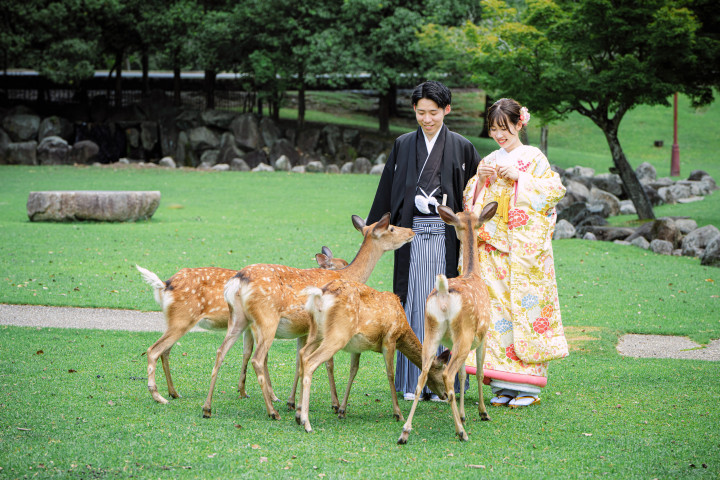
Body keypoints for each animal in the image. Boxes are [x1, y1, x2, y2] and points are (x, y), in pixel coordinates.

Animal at [136, 246, 348, 404]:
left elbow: (247, 353)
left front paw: (244, 392)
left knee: (165, 351)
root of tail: (164, 285)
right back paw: (160, 396)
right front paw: (273, 397)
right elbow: (261, 357)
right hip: (182, 319)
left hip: (174, 321)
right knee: (155, 350)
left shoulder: (248, 328)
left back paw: (174, 392)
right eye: (339, 266)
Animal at [202, 214, 414, 420]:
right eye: (392, 228)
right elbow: (328, 363)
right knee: (257, 358)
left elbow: (299, 361)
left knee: (221, 351)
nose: (411, 232)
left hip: (238, 319)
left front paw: (293, 402)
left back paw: (208, 408)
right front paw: (334, 404)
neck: (349, 276)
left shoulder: (304, 330)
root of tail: (238, 281)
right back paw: (272, 411)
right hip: (267, 319)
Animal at [296, 280, 448, 434]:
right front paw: (398, 414)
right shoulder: (390, 339)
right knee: (310, 361)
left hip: (316, 332)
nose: (446, 395)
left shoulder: (356, 348)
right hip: (338, 334)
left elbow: (353, 371)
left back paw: (298, 414)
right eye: (443, 374)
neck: (403, 332)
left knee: (302, 353)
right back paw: (306, 423)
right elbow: (390, 374)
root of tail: (320, 294)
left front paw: (342, 410)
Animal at [396, 201, 498, 444]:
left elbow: (463, 374)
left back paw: (405, 431)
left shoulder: (451, 344)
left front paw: (463, 414)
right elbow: (478, 372)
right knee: (448, 376)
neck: (473, 273)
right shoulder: (484, 335)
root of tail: (442, 294)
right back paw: (461, 432)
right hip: (465, 333)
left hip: (431, 331)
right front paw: (481, 413)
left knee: (422, 376)